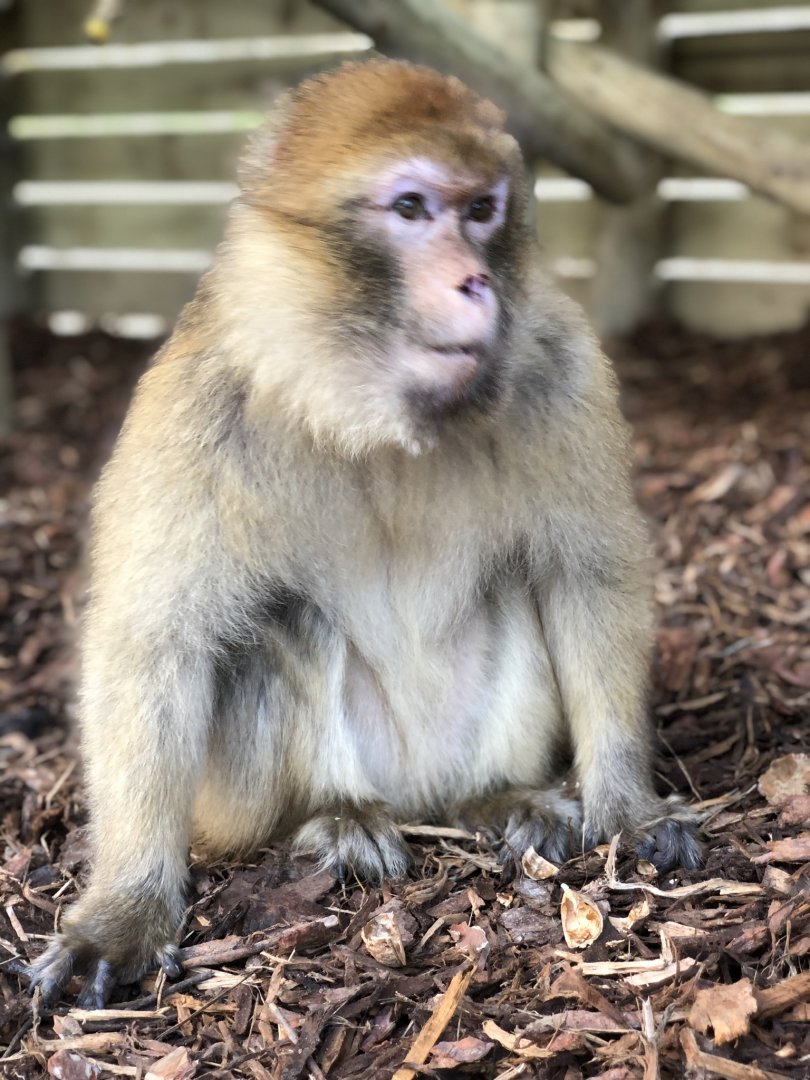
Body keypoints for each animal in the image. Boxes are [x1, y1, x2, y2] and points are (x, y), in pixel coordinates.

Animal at [29, 59, 702, 1009]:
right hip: (249, 795)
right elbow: (154, 643)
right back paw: (332, 816)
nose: (473, 282)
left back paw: (497, 797)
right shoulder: (201, 400)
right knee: (279, 624)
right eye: (412, 209)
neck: (371, 416)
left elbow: (585, 576)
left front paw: (628, 806)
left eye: (481, 210)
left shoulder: (560, 364)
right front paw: (127, 908)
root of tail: (416, 793)